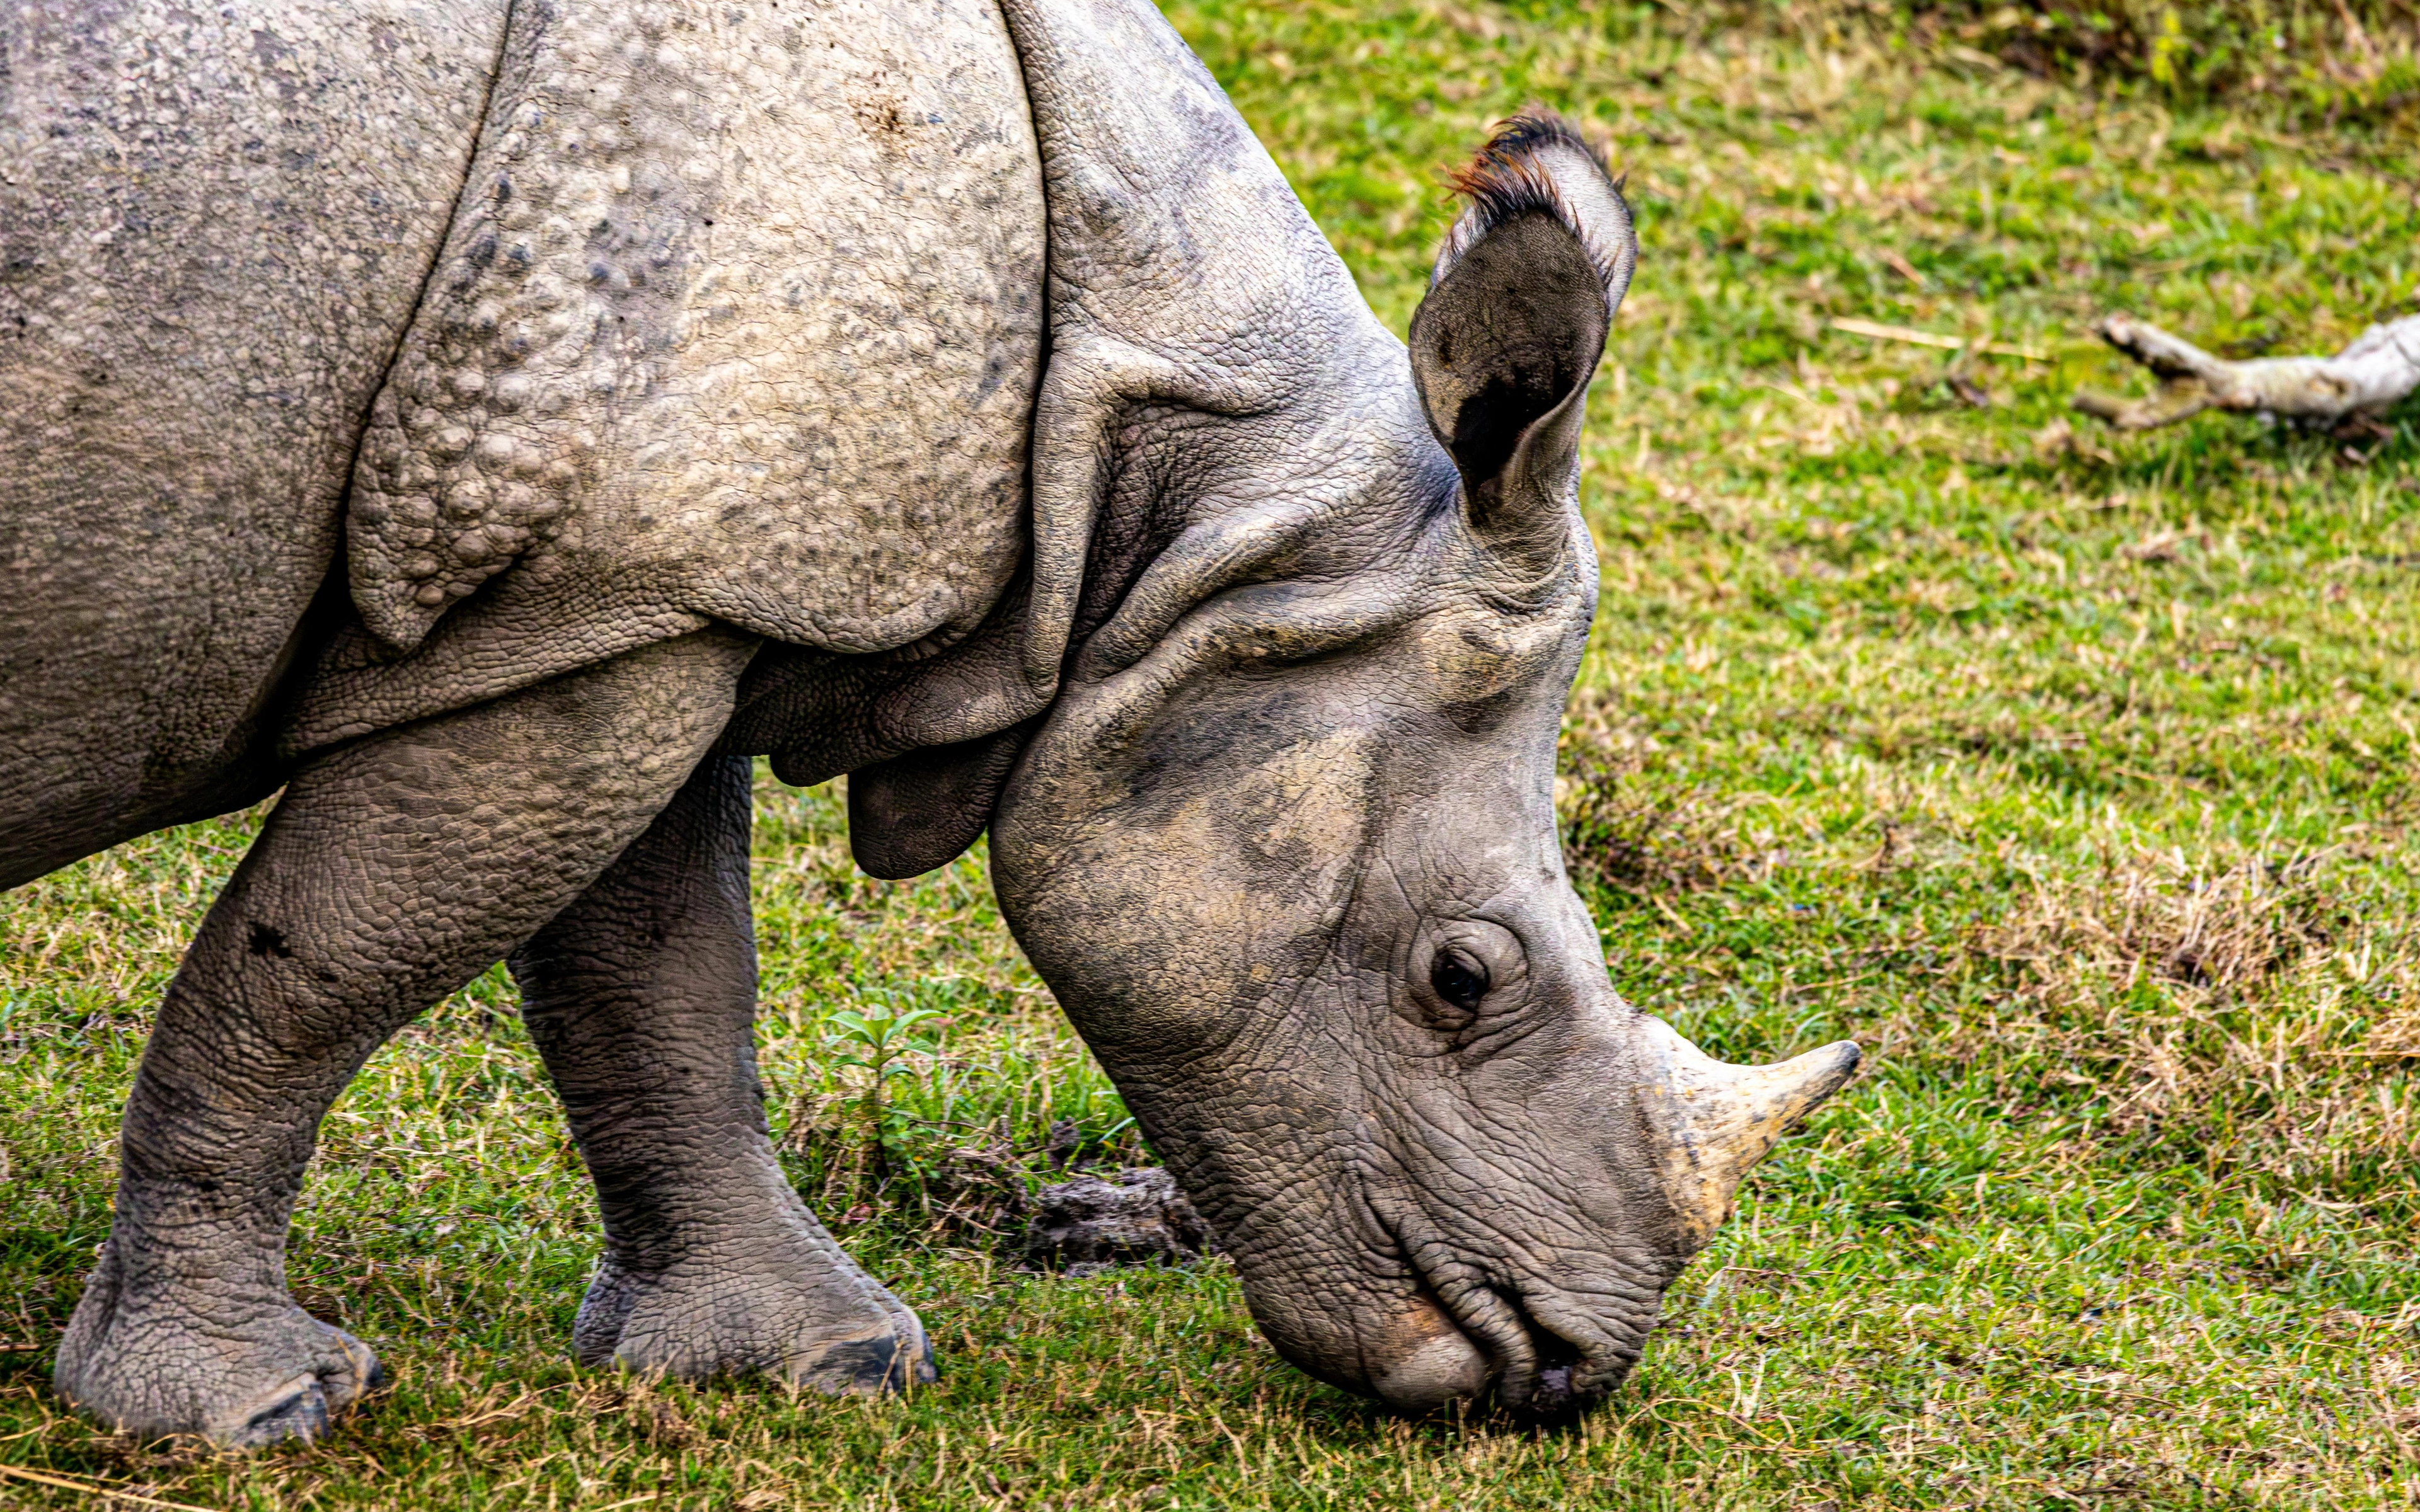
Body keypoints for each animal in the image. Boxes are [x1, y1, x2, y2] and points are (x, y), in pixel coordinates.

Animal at [1, 0, 1858, 1446]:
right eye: (1461, 978)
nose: (1564, 1372)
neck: (1191, 514)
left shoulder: (655, 591)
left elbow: (659, 979)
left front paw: (813, 1365)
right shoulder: (609, 595)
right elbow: (306, 984)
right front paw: (249, 1413)